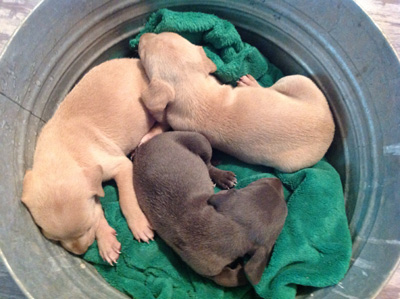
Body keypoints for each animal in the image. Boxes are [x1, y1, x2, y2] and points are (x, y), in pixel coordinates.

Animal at [20, 58, 158, 264]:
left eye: (85, 228)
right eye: (55, 239)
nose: (81, 252)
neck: (61, 155)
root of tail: (137, 61)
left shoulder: (121, 166)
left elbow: (126, 201)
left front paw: (139, 225)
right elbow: (97, 210)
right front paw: (107, 242)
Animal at [134, 132, 288, 288]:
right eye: (260, 182)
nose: (278, 181)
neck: (230, 230)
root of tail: (143, 146)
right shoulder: (210, 272)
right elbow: (228, 279)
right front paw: (240, 274)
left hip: (200, 141)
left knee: (208, 163)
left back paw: (222, 177)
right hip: (198, 140)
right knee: (207, 164)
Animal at [139, 31, 336, 172]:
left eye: (144, 53)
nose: (142, 35)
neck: (194, 89)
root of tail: (331, 127)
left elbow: (163, 122)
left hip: (295, 81)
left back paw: (251, 83)